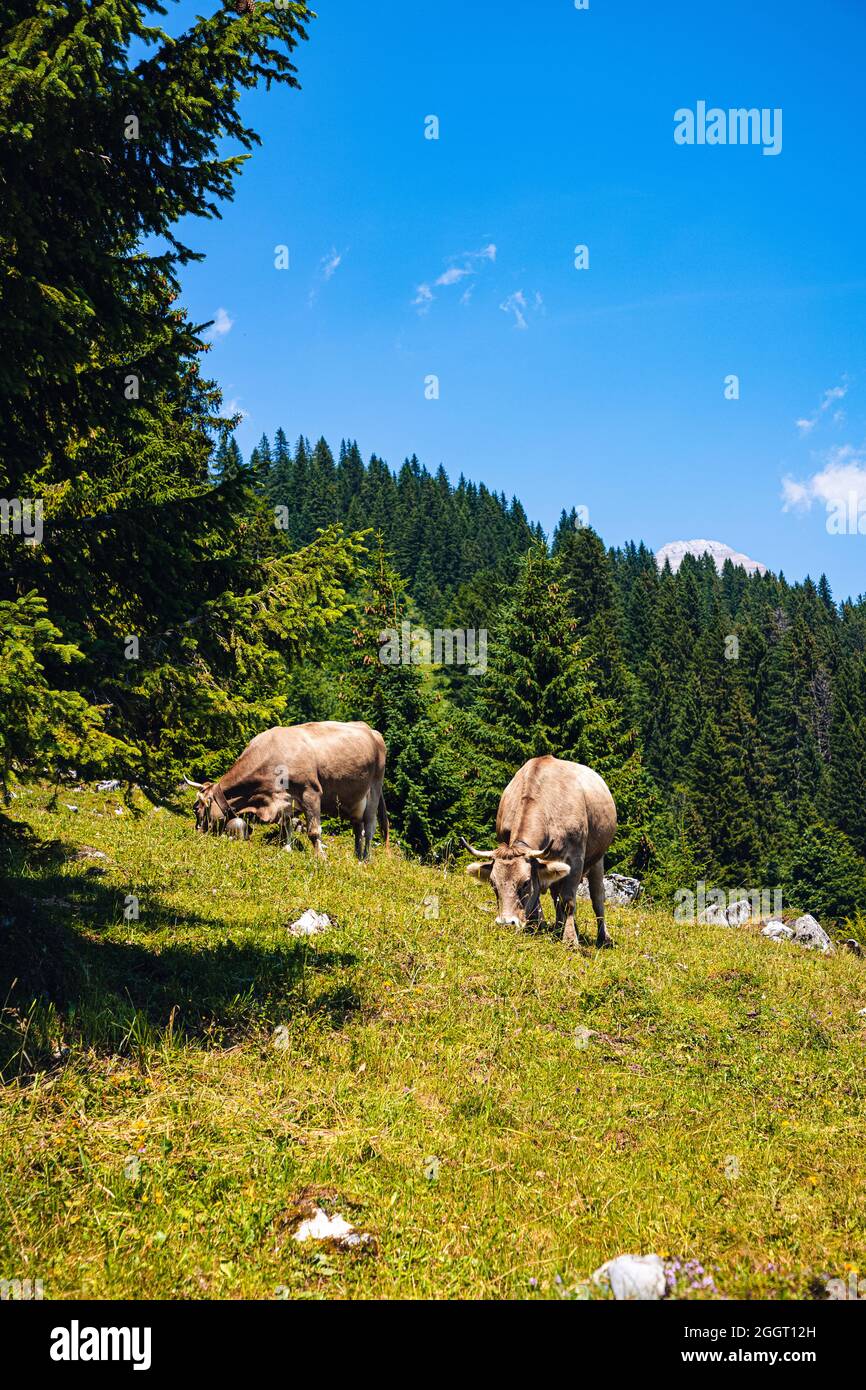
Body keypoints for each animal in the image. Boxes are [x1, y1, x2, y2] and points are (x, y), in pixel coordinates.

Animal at [186, 722, 389, 861]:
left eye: (197, 809)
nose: (197, 833)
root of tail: (372, 731)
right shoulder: (283, 800)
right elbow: (286, 825)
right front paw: (286, 849)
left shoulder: (311, 792)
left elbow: (313, 831)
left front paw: (320, 857)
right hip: (354, 798)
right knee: (357, 826)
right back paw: (357, 856)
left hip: (374, 789)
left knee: (369, 828)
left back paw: (365, 859)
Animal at [467, 761, 617, 945]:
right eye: (493, 883)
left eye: (525, 883)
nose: (506, 924)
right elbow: (542, 897)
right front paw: (537, 925)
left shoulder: (575, 859)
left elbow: (568, 900)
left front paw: (570, 940)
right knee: (556, 895)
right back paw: (560, 928)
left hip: (597, 859)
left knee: (597, 897)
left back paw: (603, 938)